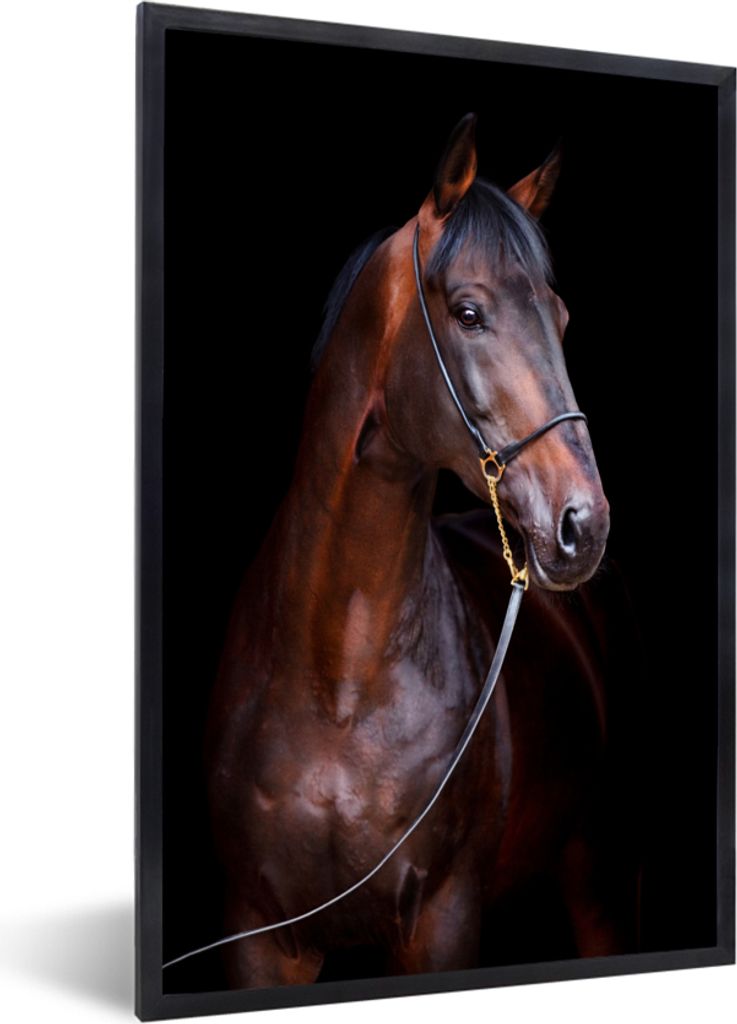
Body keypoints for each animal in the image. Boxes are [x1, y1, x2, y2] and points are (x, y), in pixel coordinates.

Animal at [204, 114, 629, 988]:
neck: (339, 679)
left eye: (561, 316)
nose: (584, 523)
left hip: (594, 866)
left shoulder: (440, 921)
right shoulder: (258, 932)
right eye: (467, 312)